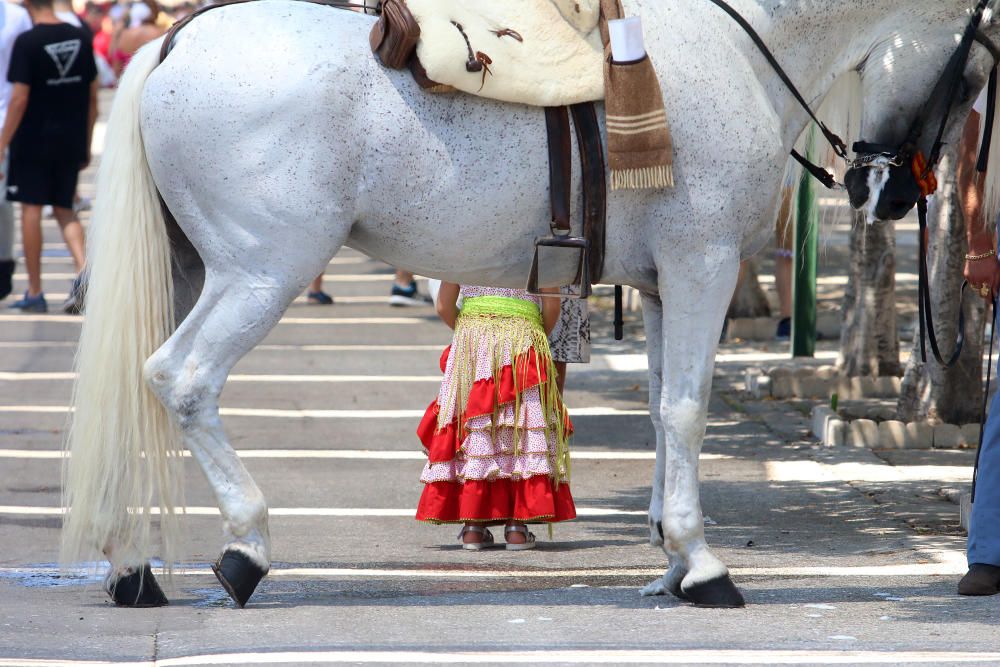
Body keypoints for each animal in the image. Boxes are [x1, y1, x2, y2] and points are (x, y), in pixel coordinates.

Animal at [62, 0, 1000, 608]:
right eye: (973, 74)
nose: (883, 194)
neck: (741, 51)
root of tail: (175, 41)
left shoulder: (663, 282)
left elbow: (662, 408)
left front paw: (669, 558)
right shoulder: (702, 266)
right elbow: (689, 410)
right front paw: (701, 566)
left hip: (191, 269)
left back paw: (129, 566)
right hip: (261, 269)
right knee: (181, 378)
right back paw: (245, 548)